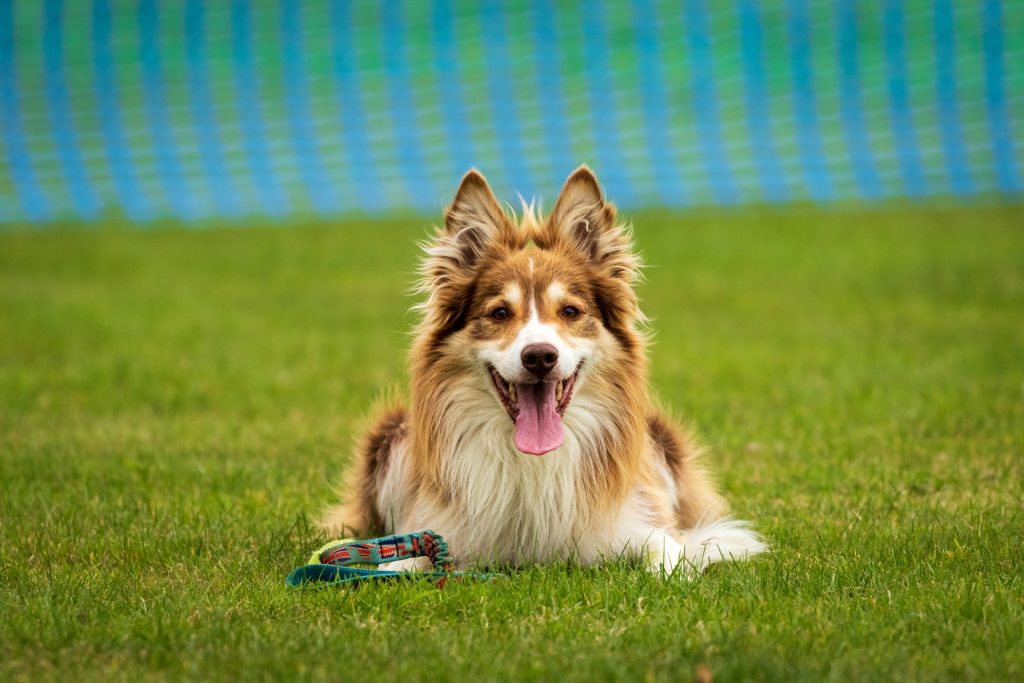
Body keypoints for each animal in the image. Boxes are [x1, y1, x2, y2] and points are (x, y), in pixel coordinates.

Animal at [323, 167, 765, 573]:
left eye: (569, 311)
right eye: (500, 313)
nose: (539, 357)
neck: (533, 461)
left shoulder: (640, 521)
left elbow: (670, 555)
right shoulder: (436, 528)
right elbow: (397, 564)